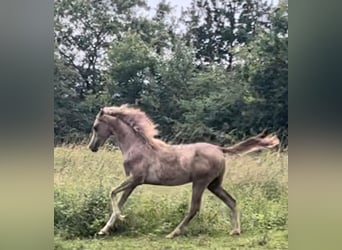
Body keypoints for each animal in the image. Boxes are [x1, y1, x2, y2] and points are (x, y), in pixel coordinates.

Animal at [87, 104, 280, 237]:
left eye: (95, 127)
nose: (92, 147)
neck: (137, 146)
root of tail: (219, 149)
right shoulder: (133, 183)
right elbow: (119, 202)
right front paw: (104, 230)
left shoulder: (135, 179)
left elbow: (112, 193)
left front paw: (121, 219)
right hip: (214, 184)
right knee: (231, 201)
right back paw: (236, 231)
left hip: (200, 182)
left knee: (194, 208)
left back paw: (173, 233)